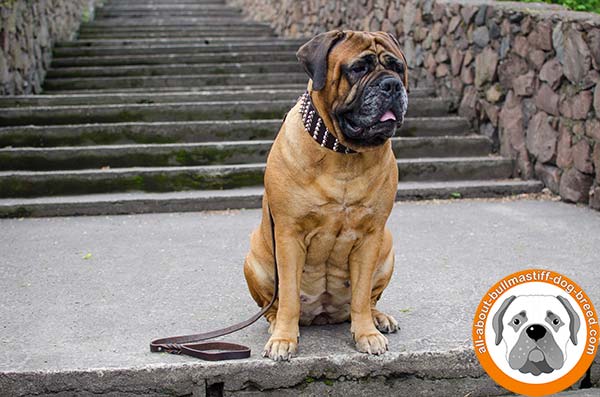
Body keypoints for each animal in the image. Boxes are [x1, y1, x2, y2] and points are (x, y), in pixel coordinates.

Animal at [241, 29, 410, 360]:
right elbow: (288, 297)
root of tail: (323, 313)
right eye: (358, 68)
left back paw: (379, 318)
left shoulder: (371, 236)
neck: (343, 153)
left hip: (388, 249)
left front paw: (366, 333)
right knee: (274, 304)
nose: (392, 84)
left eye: (398, 68)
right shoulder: (289, 235)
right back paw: (275, 323)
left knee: (369, 299)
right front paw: (283, 339)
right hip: (254, 258)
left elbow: (361, 296)